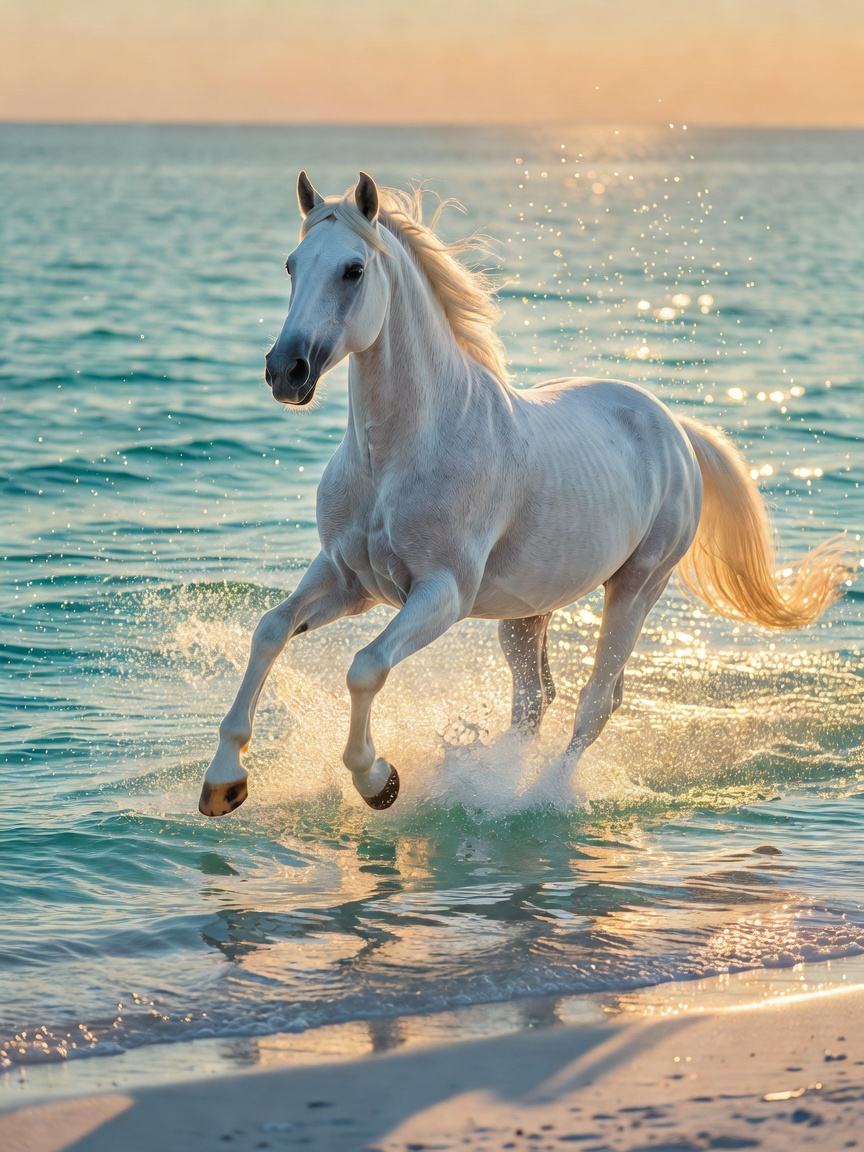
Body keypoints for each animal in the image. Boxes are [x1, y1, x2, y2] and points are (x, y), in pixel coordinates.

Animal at [198, 171, 848, 817]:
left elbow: (366, 667)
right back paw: (499, 777)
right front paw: (224, 783)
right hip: (527, 610)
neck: (398, 458)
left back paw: (543, 794)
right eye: (292, 264)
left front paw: (377, 779)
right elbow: (271, 630)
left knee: (595, 702)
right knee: (536, 698)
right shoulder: (346, 578)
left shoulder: (441, 593)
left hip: (638, 585)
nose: (286, 371)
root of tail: (676, 429)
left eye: (353, 269)